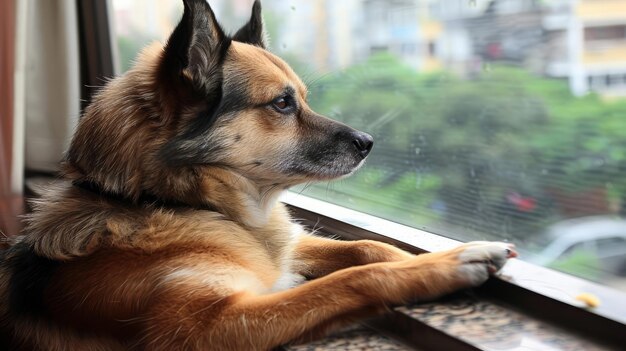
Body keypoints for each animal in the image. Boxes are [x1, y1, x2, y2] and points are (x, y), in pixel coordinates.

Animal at [0, 1, 516, 350]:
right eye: (282, 103)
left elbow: (368, 249)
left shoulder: (288, 248)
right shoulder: (206, 328)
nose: (368, 142)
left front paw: (425, 255)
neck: (168, 201)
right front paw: (453, 262)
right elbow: (352, 280)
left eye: (301, 97)